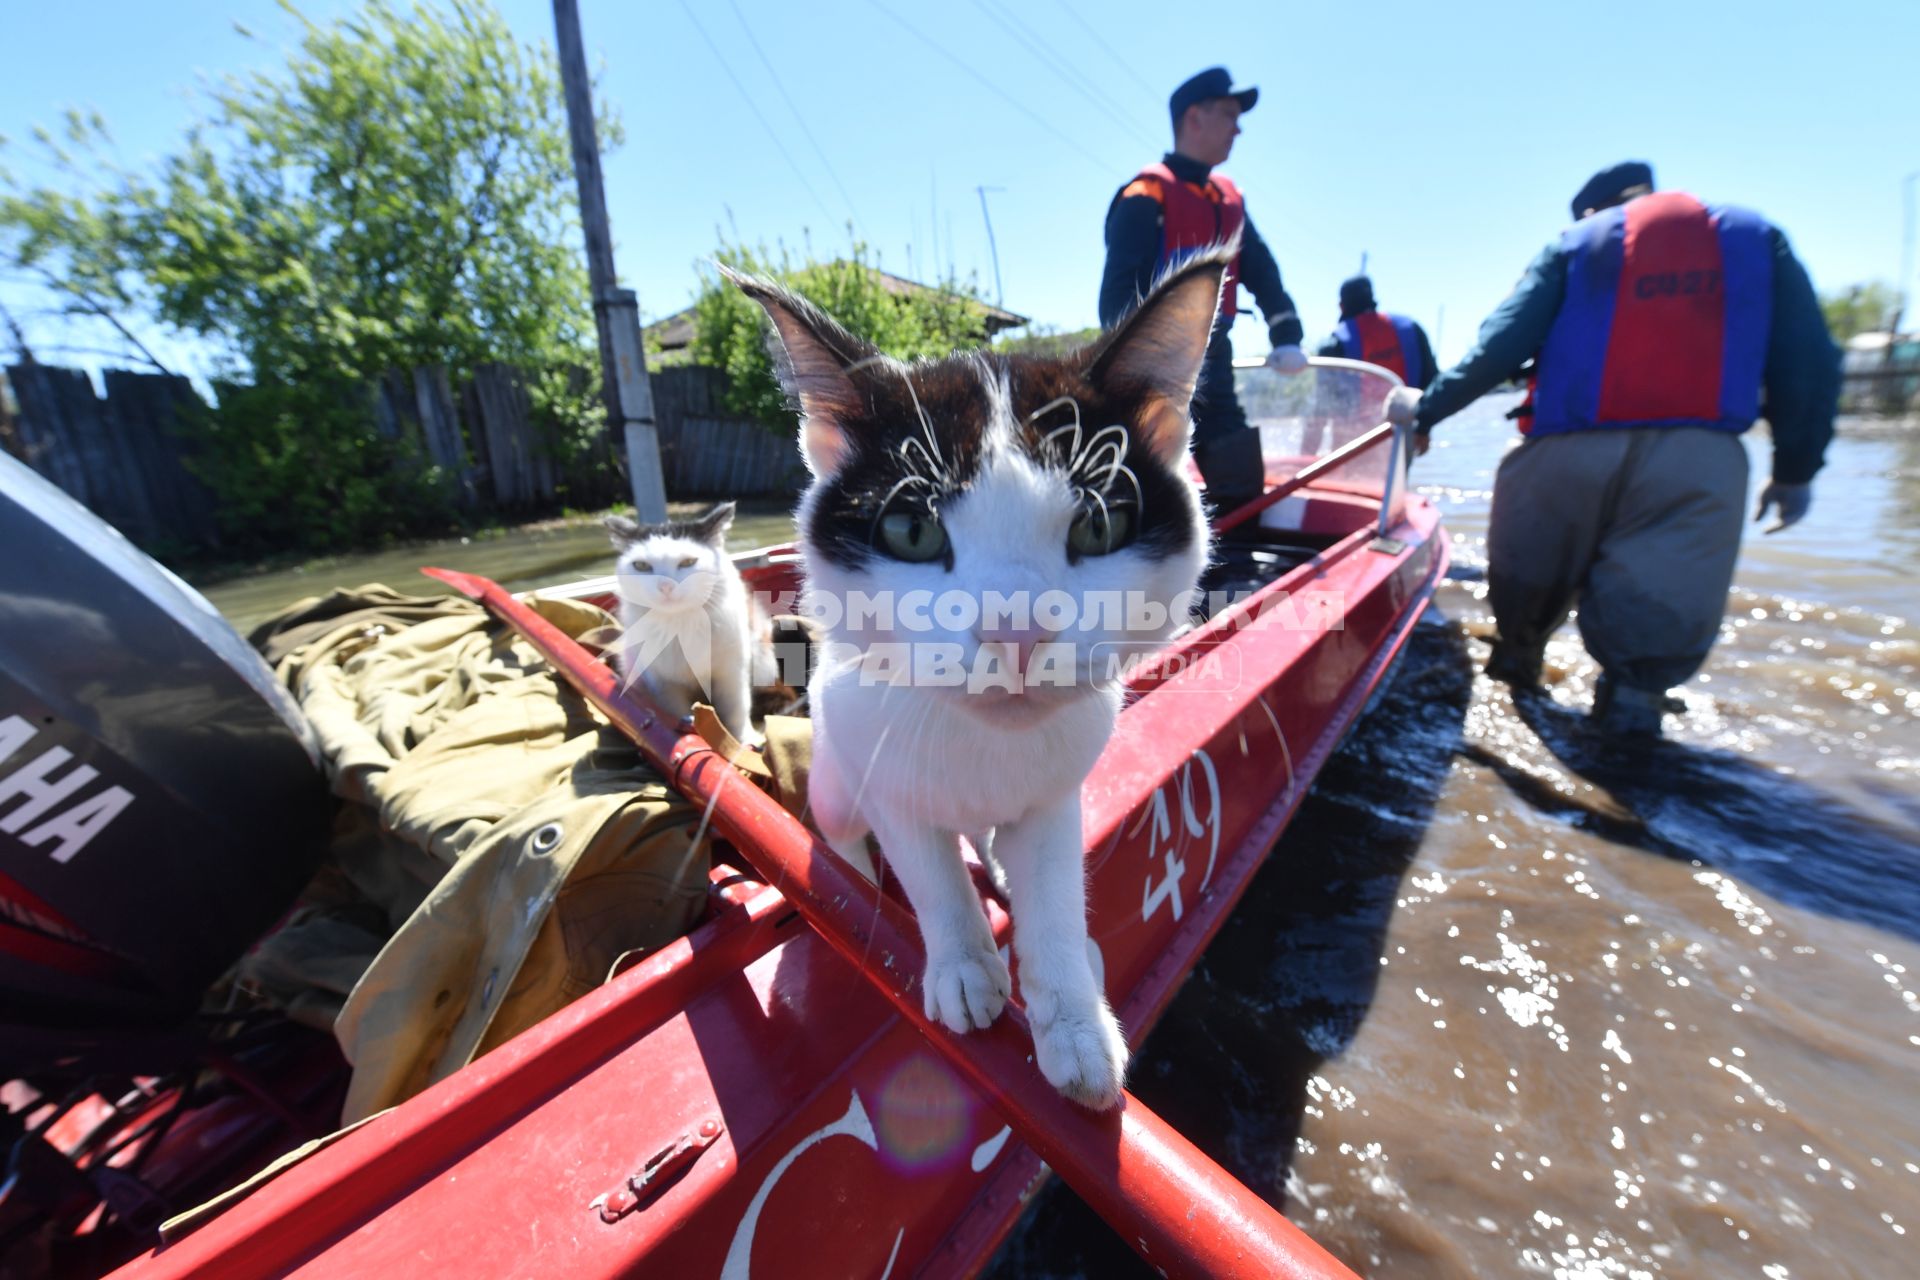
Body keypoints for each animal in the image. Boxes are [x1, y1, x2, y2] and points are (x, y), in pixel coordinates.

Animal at [602, 498, 752, 740]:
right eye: (641, 565)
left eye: (688, 562)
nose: (665, 586)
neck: (680, 625)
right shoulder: (664, 685)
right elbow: (676, 714)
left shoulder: (731, 673)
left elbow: (737, 711)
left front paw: (746, 740)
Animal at [725, 249, 1221, 1113]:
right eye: (911, 530)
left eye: (1099, 526)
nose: (1016, 633)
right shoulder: (884, 770)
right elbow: (926, 872)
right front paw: (960, 965)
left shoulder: (1059, 785)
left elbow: (1054, 889)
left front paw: (1074, 1022)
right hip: (834, 762)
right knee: (842, 823)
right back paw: (855, 874)